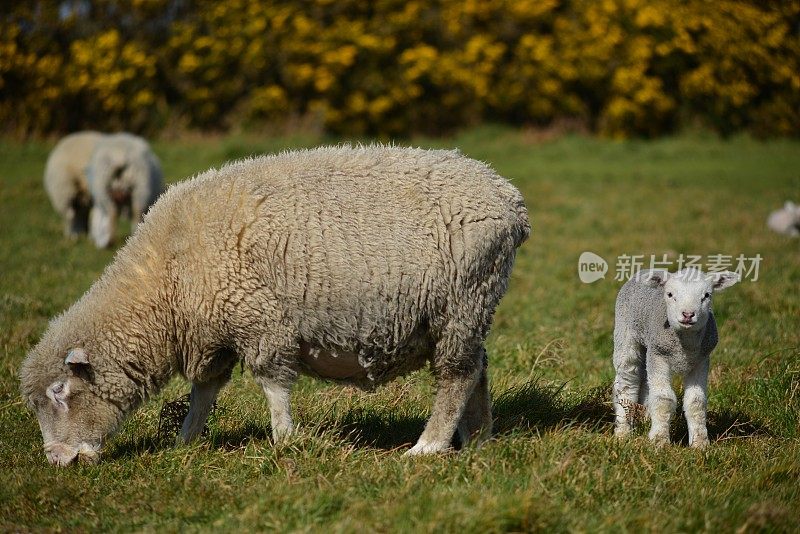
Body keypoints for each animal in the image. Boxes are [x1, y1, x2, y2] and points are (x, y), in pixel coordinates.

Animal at [18, 146, 532, 464]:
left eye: (60, 393)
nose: (57, 461)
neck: (163, 284)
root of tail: (509, 199)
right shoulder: (215, 332)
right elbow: (204, 392)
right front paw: (185, 442)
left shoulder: (258, 320)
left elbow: (272, 385)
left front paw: (284, 440)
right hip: (469, 310)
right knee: (478, 369)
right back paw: (479, 439)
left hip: (462, 301)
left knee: (457, 376)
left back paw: (428, 447)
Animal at [616, 268, 740, 448]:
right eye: (669, 294)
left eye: (707, 295)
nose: (688, 314)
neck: (685, 346)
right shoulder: (659, 354)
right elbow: (663, 399)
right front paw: (659, 440)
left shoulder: (701, 360)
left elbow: (696, 402)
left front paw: (700, 443)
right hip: (626, 334)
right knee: (627, 380)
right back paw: (622, 431)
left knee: (645, 381)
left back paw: (645, 419)